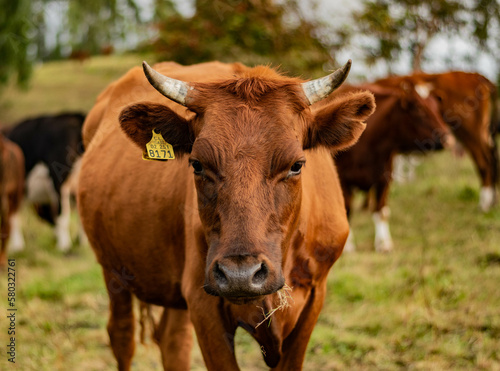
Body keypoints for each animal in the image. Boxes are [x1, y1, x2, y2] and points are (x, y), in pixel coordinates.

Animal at [78, 59, 376, 370]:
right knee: (123, 337)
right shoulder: (203, 303)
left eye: (296, 165)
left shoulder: (314, 296)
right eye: (197, 164)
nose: (240, 275)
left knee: (173, 340)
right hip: (113, 271)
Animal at [318, 80, 452, 251]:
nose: (447, 139)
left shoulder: (384, 178)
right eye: (419, 108)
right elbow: (347, 210)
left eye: (436, 107)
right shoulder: (343, 181)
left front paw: (383, 243)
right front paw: (348, 244)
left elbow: (381, 211)